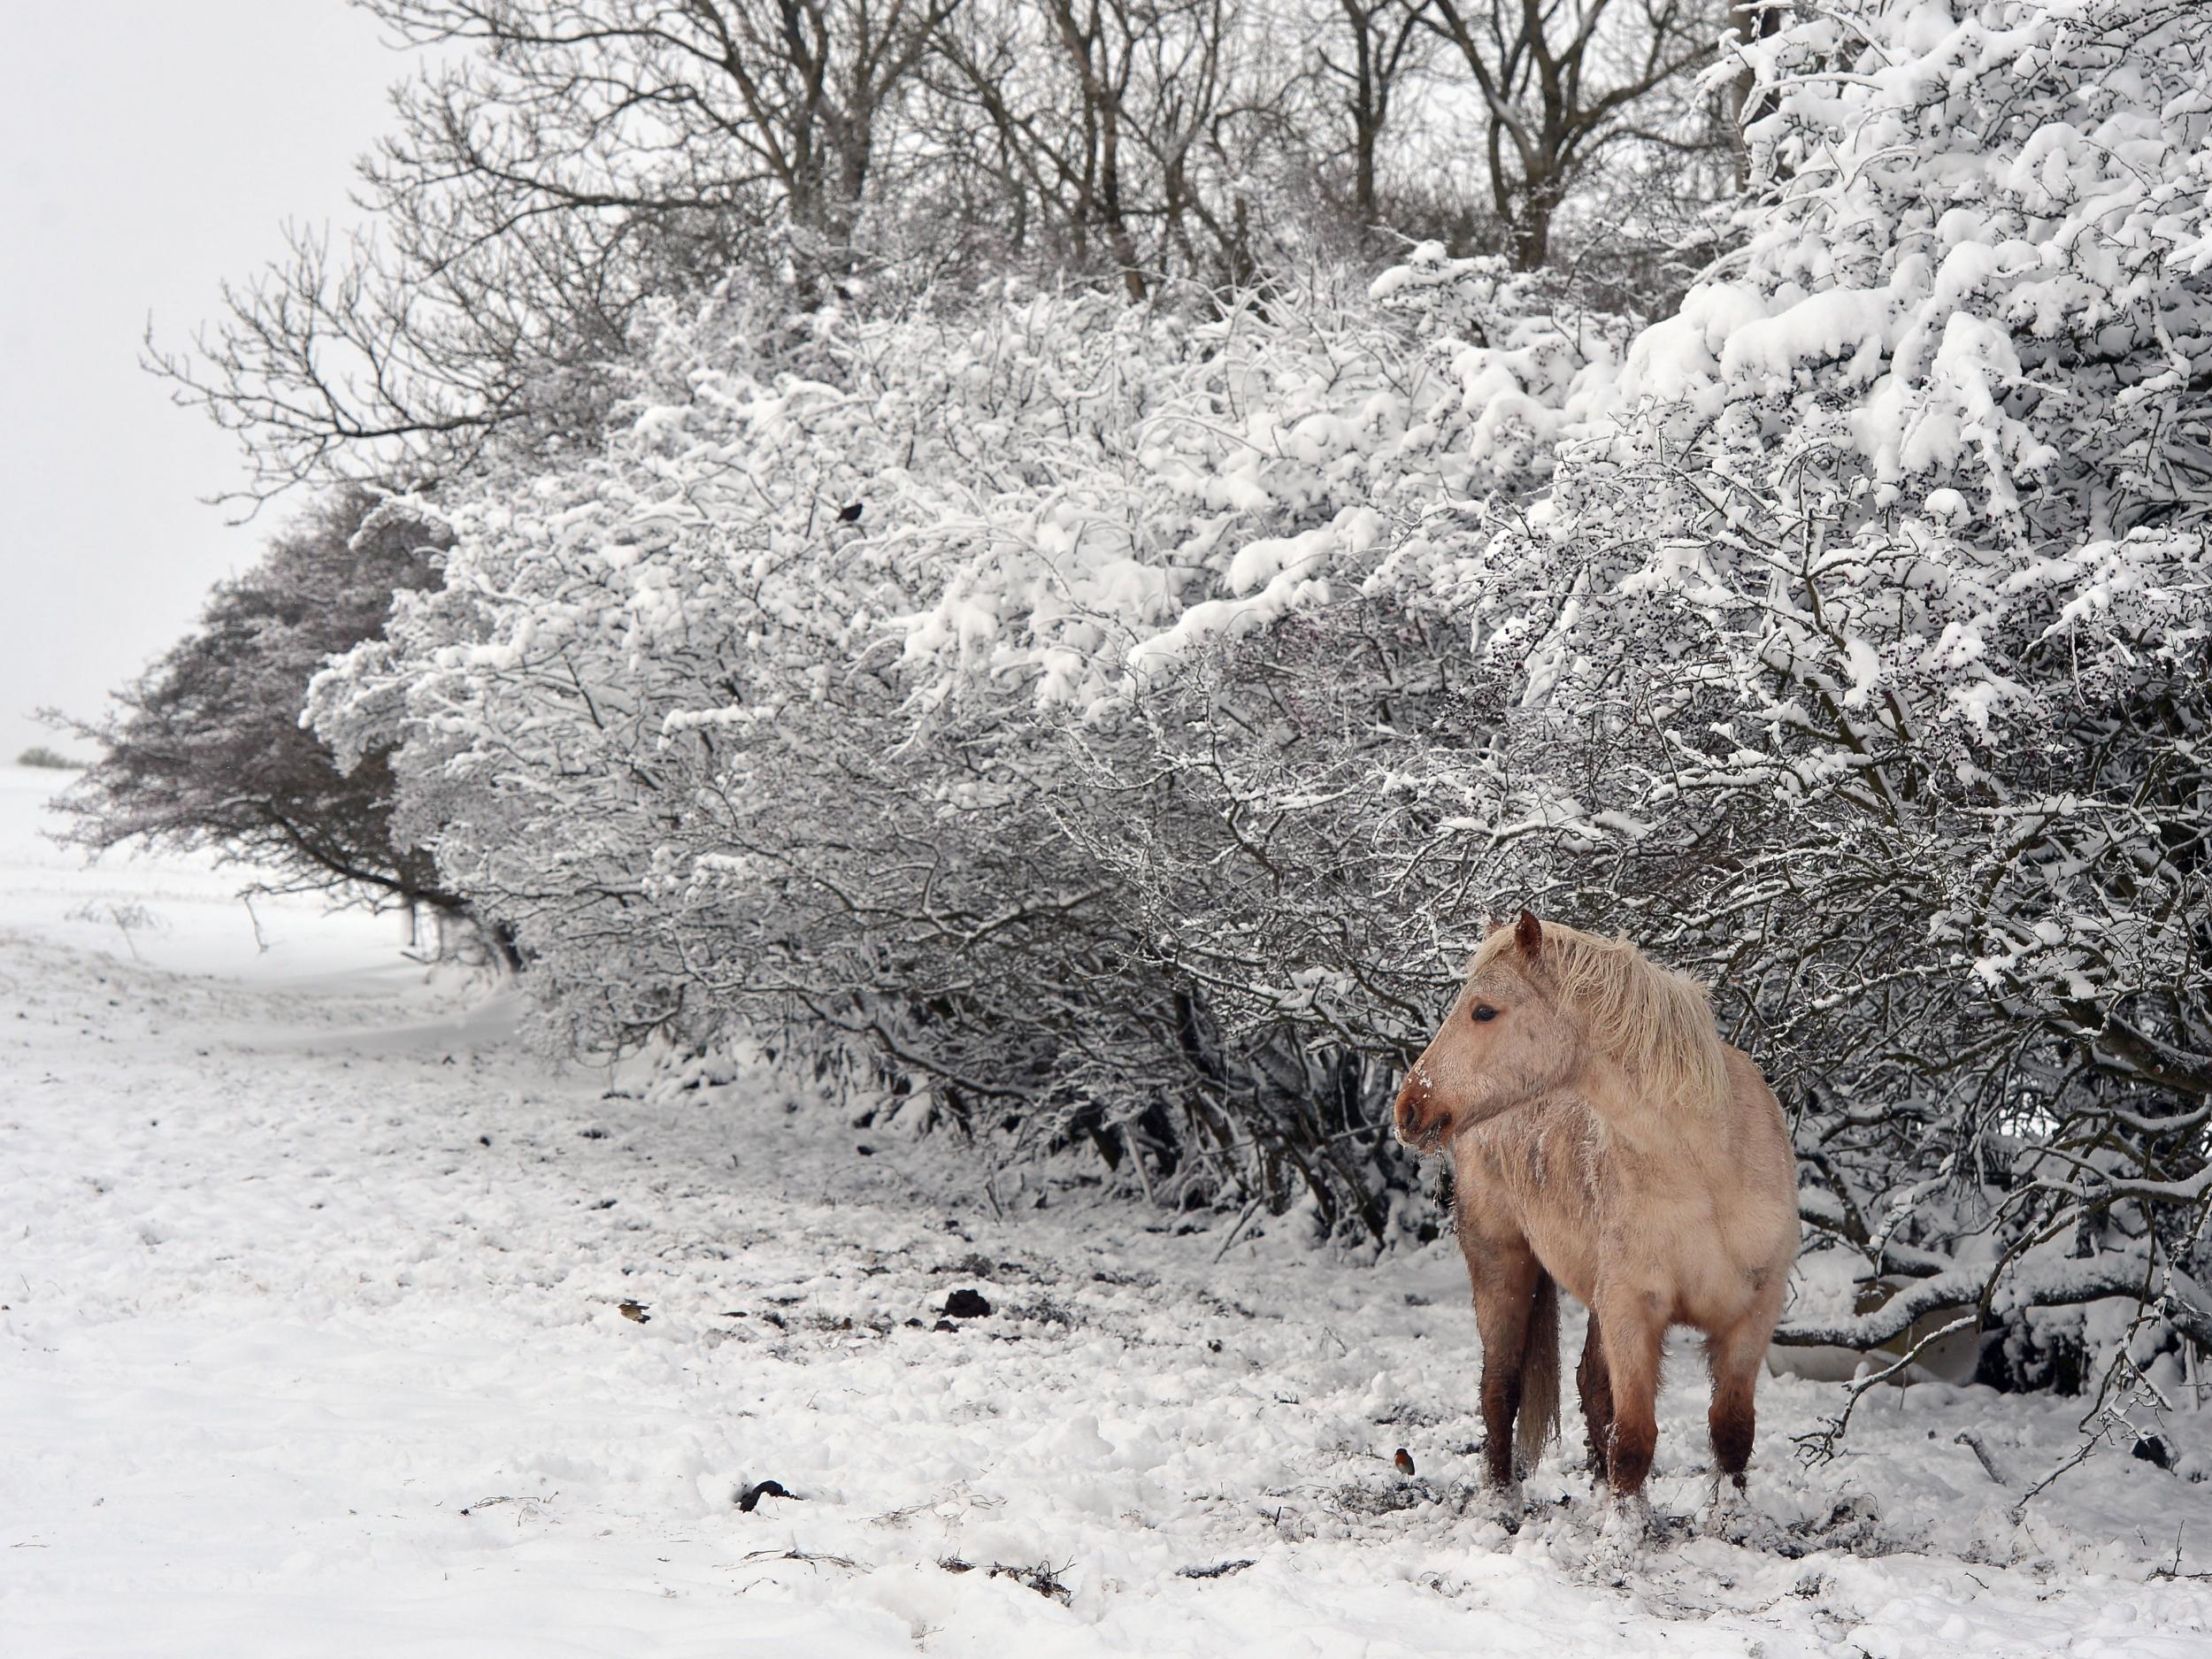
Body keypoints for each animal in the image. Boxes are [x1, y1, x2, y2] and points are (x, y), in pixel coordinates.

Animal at [1398, 916, 1796, 1531]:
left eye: (1484, 1011)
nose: (1409, 1108)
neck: (1707, 1170)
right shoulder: (1632, 1311)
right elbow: (1634, 1437)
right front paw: (1622, 1538)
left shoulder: (1751, 1314)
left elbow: (1731, 1431)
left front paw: (1732, 1527)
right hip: (1502, 1265)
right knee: (1501, 1388)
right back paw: (1499, 1501)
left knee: (1588, 1383)